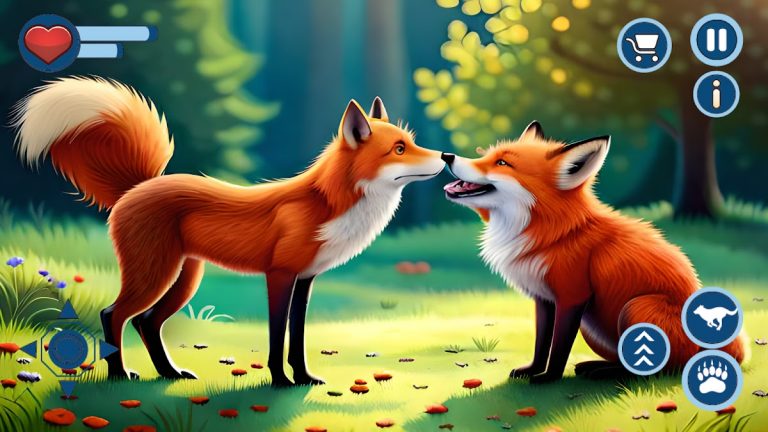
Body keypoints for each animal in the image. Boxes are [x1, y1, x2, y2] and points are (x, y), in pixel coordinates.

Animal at [12, 76, 445, 386]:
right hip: (154, 275)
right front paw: (280, 382)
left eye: (412, 143)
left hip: (184, 278)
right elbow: (276, 338)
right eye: (399, 149)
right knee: (112, 315)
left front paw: (305, 378)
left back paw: (170, 373)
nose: (445, 156)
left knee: (146, 322)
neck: (328, 203)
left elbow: (297, 339)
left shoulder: (305, 279)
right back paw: (120, 374)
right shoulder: (279, 275)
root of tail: (138, 185)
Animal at [440, 121, 745, 383]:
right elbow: (541, 343)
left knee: (658, 368)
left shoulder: (573, 296)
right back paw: (596, 366)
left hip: (636, 308)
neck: (555, 234)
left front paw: (548, 379)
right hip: (593, 326)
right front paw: (533, 370)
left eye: (503, 163)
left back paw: (606, 373)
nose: (446, 155)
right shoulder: (544, 297)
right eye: (486, 156)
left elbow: (559, 347)